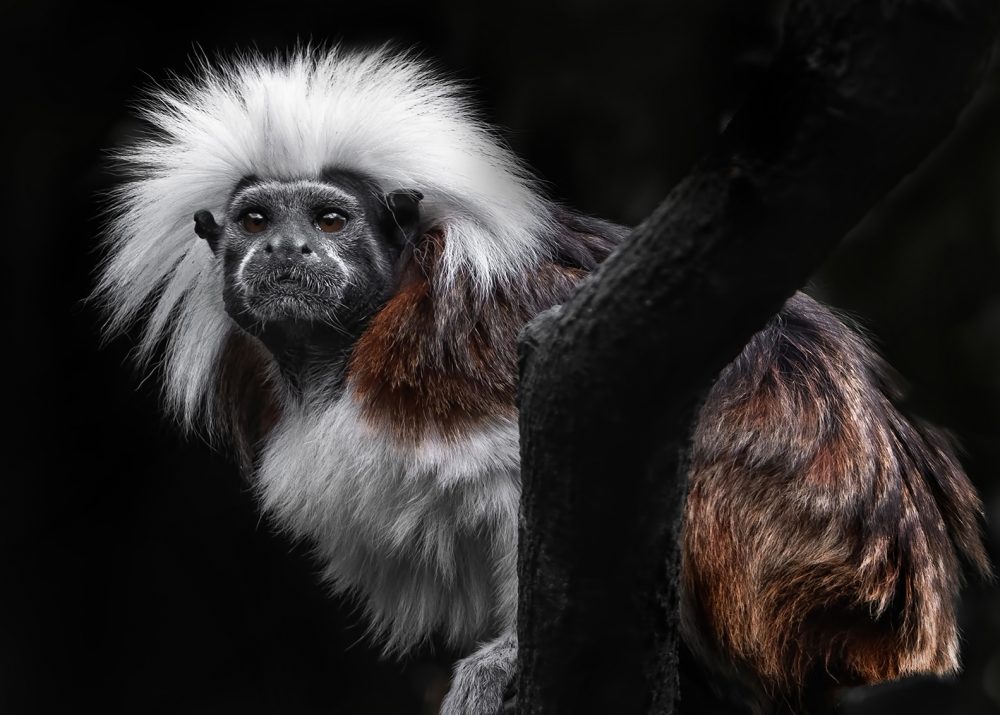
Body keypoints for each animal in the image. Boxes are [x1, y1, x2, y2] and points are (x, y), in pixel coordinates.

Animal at [95, 47, 992, 712]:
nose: (287, 250)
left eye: (329, 219)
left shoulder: (468, 349)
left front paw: (502, 661)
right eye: (254, 221)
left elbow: (521, 475)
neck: (343, 352)